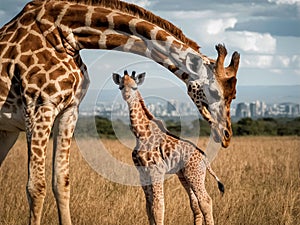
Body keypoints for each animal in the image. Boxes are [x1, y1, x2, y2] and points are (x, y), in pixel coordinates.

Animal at [112, 71, 223, 225]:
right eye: (121, 86)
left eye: (135, 87)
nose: (127, 97)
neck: (140, 134)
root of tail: (205, 158)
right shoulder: (142, 173)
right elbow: (148, 207)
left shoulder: (156, 171)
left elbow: (158, 206)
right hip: (184, 175)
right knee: (194, 203)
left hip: (195, 174)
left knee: (205, 200)